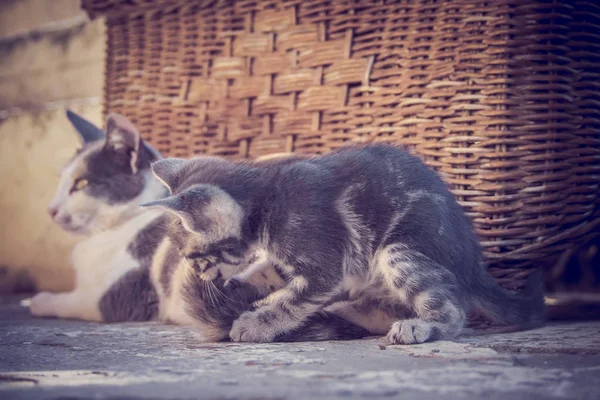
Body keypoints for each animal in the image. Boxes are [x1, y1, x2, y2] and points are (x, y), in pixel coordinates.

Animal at [143, 145, 548, 346]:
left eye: (194, 257)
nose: (198, 273)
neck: (267, 196)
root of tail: (474, 268)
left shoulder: (324, 261)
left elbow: (295, 300)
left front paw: (257, 323)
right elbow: (272, 271)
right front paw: (251, 287)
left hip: (397, 250)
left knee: (454, 311)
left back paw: (421, 328)